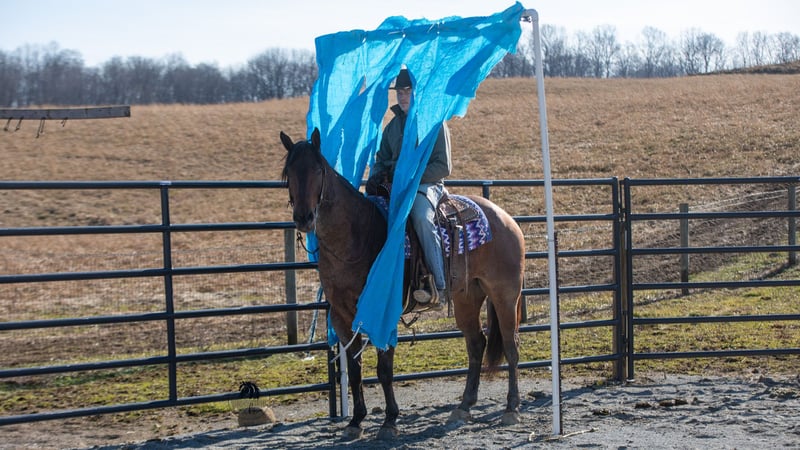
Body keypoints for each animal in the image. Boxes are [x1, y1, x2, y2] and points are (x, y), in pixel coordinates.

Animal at [280, 128, 526, 440]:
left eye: (318, 170)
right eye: (289, 173)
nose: (304, 217)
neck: (357, 235)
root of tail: (505, 218)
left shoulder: (384, 311)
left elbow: (384, 368)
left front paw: (390, 421)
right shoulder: (341, 315)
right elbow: (356, 369)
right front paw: (355, 421)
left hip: (505, 294)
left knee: (509, 344)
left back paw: (511, 408)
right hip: (467, 297)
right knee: (476, 344)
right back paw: (463, 407)